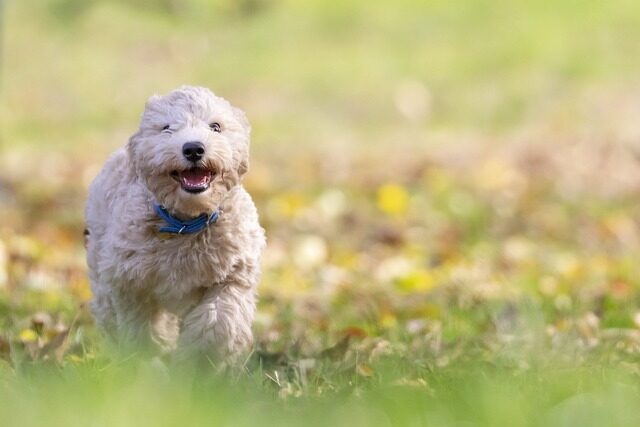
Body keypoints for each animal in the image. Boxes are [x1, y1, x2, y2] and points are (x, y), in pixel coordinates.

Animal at [85, 87, 264, 364]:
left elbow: (218, 320)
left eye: (215, 127)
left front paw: (197, 362)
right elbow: (141, 327)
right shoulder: (130, 281)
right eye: (166, 128)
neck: (186, 223)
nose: (193, 148)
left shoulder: (234, 274)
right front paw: (148, 360)